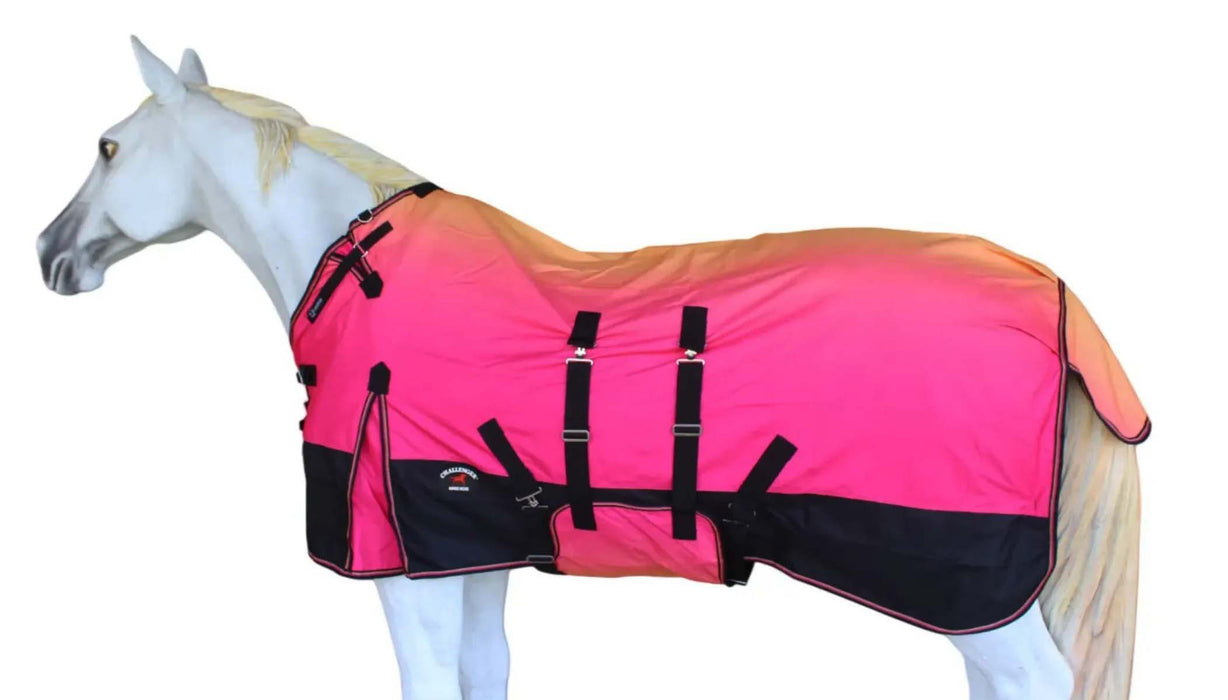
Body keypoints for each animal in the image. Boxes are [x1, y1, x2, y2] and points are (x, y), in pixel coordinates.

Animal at [34, 38, 1143, 700]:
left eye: (109, 146)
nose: (50, 253)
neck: (362, 276)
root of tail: (1052, 295)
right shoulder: (462, 550)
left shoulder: (400, 571)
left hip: (964, 586)